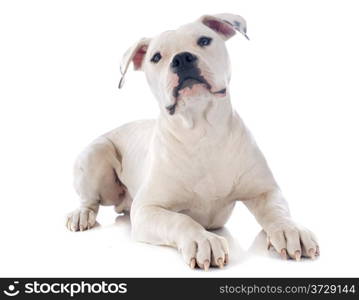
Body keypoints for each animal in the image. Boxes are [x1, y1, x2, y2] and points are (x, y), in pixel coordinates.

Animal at [67, 13, 320, 270]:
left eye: (204, 40)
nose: (182, 58)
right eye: (156, 57)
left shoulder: (264, 190)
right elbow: (180, 220)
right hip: (96, 153)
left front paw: (289, 230)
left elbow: (277, 211)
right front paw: (202, 240)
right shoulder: (147, 209)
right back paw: (81, 215)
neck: (202, 131)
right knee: (89, 199)